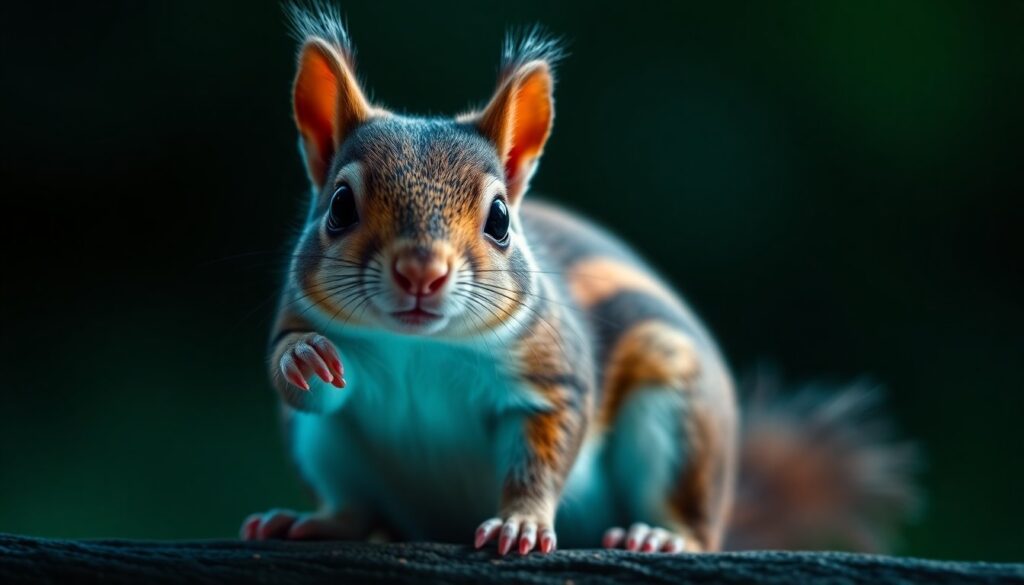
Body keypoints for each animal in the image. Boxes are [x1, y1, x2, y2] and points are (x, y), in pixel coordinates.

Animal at [241, 4, 918, 555]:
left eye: (500, 218)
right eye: (339, 206)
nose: (421, 273)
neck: (421, 349)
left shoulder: (549, 379)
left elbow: (541, 456)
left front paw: (520, 522)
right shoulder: (309, 332)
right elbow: (304, 380)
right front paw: (302, 357)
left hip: (679, 423)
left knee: (696, 528)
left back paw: (661, 536)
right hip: (324, 447)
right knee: (359, 509)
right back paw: (314, 523)